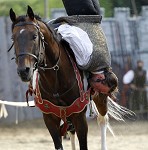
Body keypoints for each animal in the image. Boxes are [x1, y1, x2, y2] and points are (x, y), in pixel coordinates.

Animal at [8, 5, 132, 150]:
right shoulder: (50, 118)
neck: (56, 78)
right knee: (71, 129)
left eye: (34, 36)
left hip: (100, 96)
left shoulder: (79, 116)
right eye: (13, 39)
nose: (24, 71)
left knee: (102, 120)